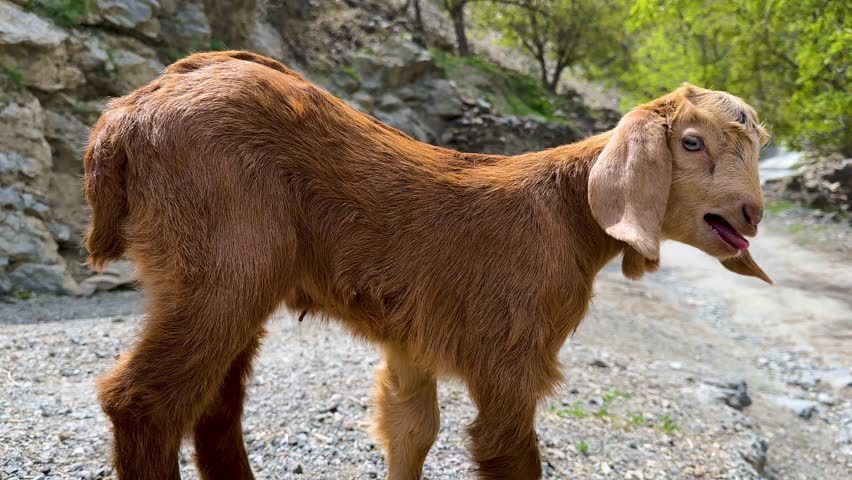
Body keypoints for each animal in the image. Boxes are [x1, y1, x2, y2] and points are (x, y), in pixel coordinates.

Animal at [83, 50, 772, 480]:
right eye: (691, 142)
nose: (752, 214)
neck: (567, 212)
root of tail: (123, 117)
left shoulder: (413, 341)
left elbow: (410, 427)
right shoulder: (509, 356)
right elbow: (508, 453)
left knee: (214, 405)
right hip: (221, 263)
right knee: (143, 400)